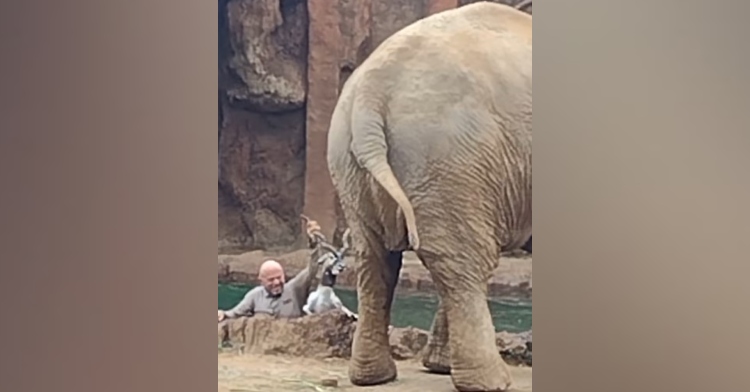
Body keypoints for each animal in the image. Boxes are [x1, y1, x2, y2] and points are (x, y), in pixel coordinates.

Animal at [326, 3, 532, 392]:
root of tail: (370, 94)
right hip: (451, 154)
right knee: (465, 262)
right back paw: (491, 382)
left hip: (351, 164)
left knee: (376, 259)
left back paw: (377, 376)